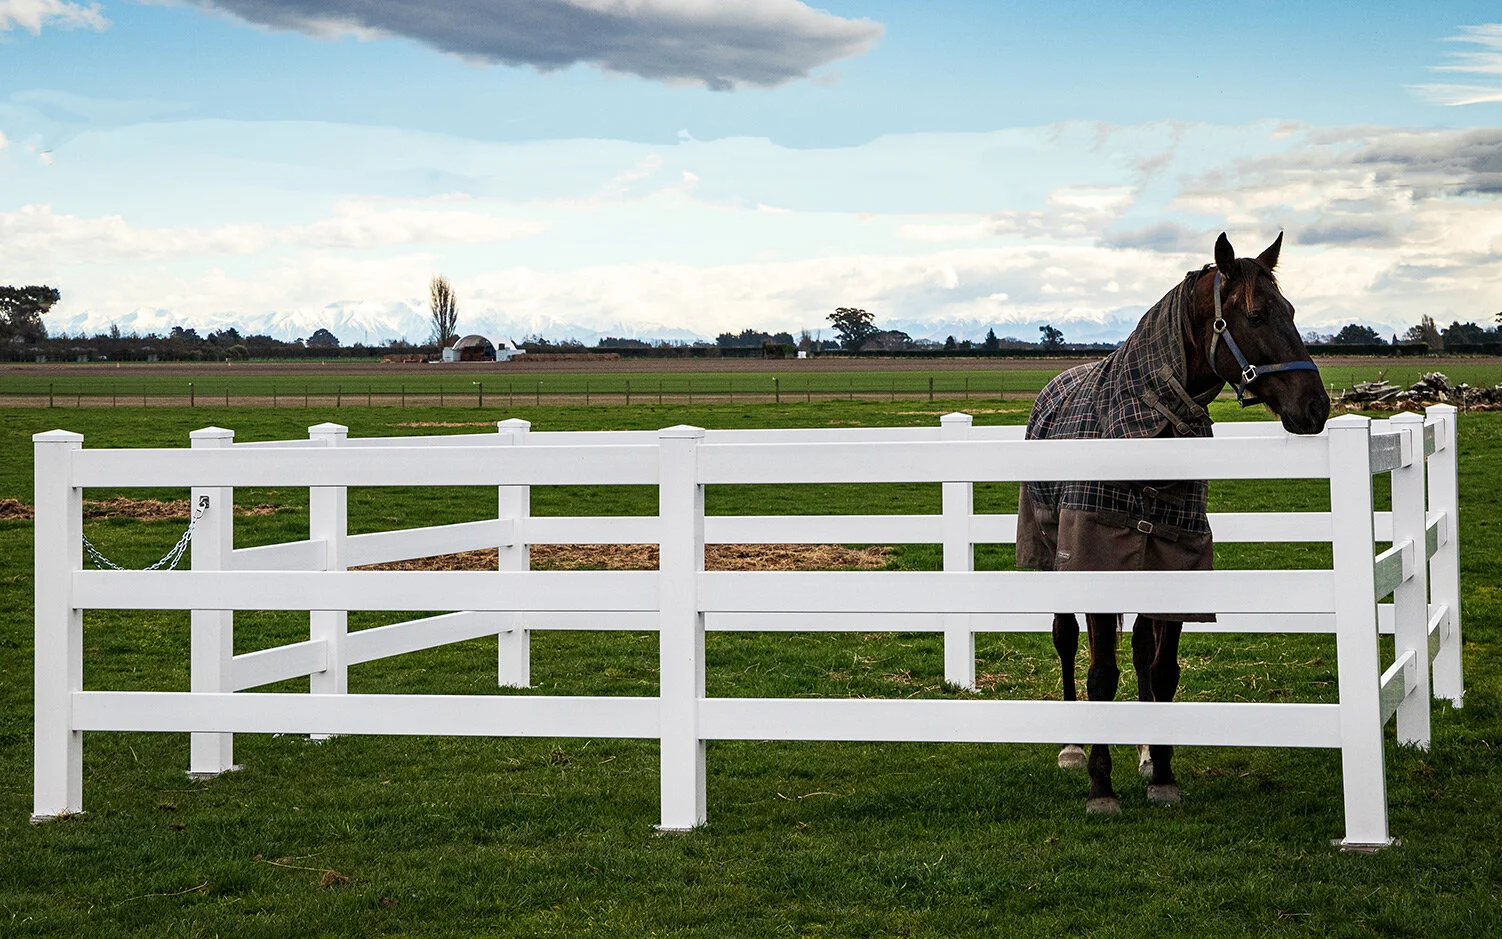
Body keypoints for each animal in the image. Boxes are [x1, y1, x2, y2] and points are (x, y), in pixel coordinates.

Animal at [1015, 232, 1331, 814]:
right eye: (1256, 314)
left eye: (1292, 311)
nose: (1316, 407)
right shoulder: (1099, 561)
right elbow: (1101, 676)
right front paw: (1100, 787)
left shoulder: (1175, 560)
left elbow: (1161, 672)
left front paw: (1161, 773)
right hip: (1052, 558)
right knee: (1065, 638)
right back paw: (1072, 746)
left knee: (1141, 649)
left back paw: (1141, 752)